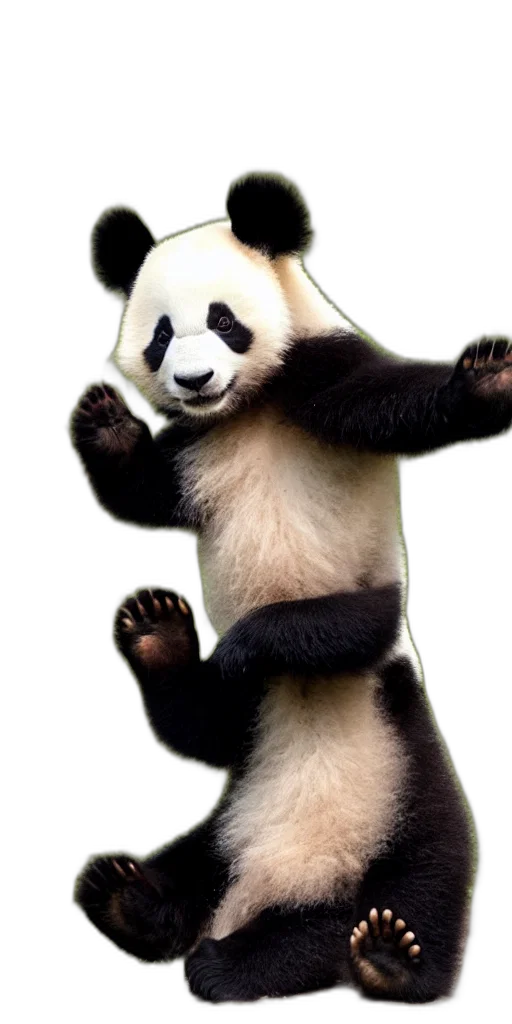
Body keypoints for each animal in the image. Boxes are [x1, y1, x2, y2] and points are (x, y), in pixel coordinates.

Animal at [72, 173, 511, 1006]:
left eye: (223, 320)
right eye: (161, 335)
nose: (194, 381)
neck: (246, 410)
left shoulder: (324, 379)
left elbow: (400, 405)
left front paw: (484, 378)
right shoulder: (196, 450)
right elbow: (198, 728)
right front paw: (104, 424)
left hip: (403, 776)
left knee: (425, 879)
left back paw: (369, 960)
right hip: (237, 806)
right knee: (195, 857)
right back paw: (131, 896)